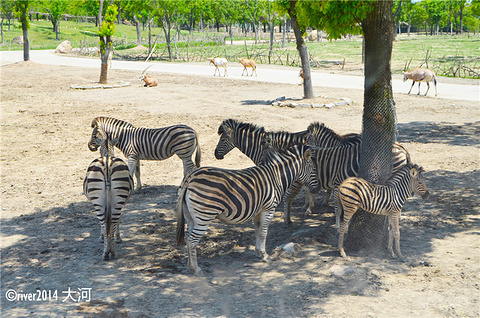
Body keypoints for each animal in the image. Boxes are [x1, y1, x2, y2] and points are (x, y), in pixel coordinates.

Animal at [175, 145, 318, 274]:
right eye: (313, 170)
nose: (316, 189)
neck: (276, 177)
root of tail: (190, 177)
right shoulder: (268, 209)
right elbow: (264, 232)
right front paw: (265, 256)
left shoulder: (258, 211)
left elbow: (258, 230)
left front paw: (259, 252)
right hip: (204, 215)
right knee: (192, 240)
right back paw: (196, 269)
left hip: (190, 216)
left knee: (187, 238)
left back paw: (189, 266)